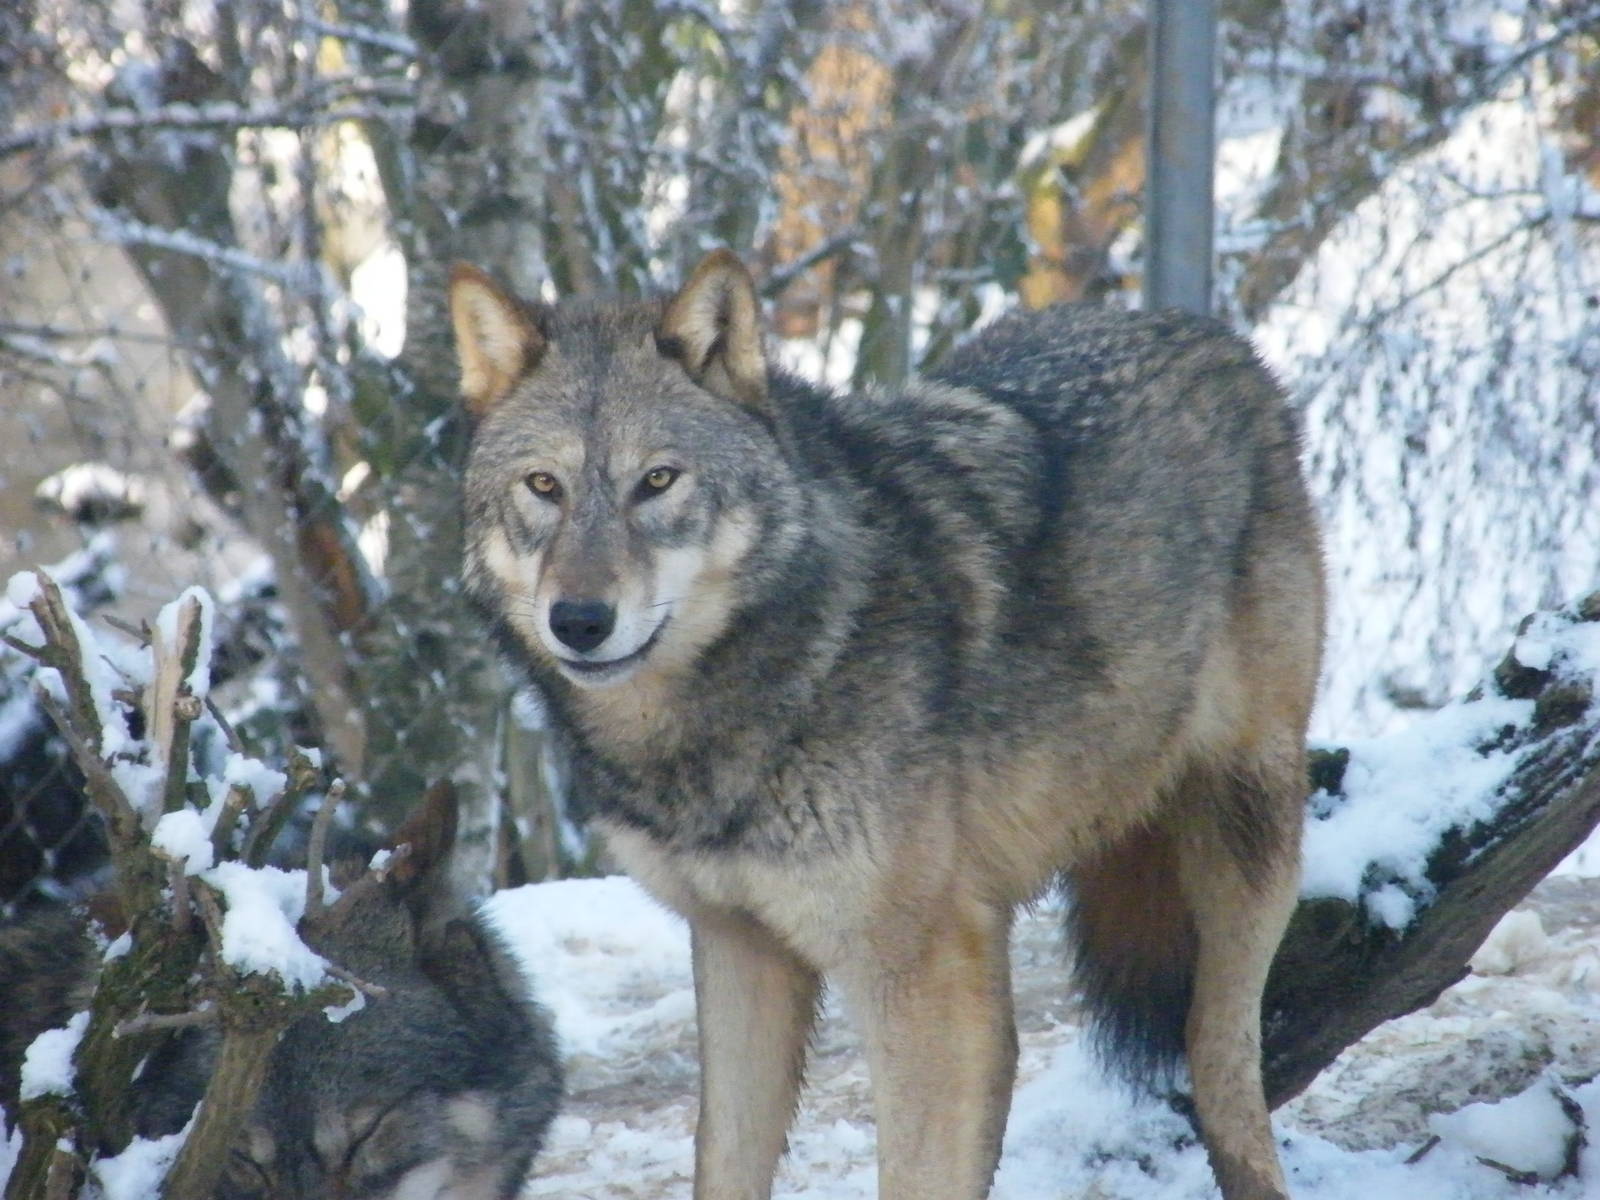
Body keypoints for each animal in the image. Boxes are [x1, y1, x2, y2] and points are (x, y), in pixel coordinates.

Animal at [452, 249, 1324, 1200]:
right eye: (545, 487)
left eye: (657, 481)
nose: (578, 620)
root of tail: (1205, 333)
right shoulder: (738, 948)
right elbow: (723, 1161)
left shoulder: (922, 977)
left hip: (1246, 833)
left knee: (1221, 1062)